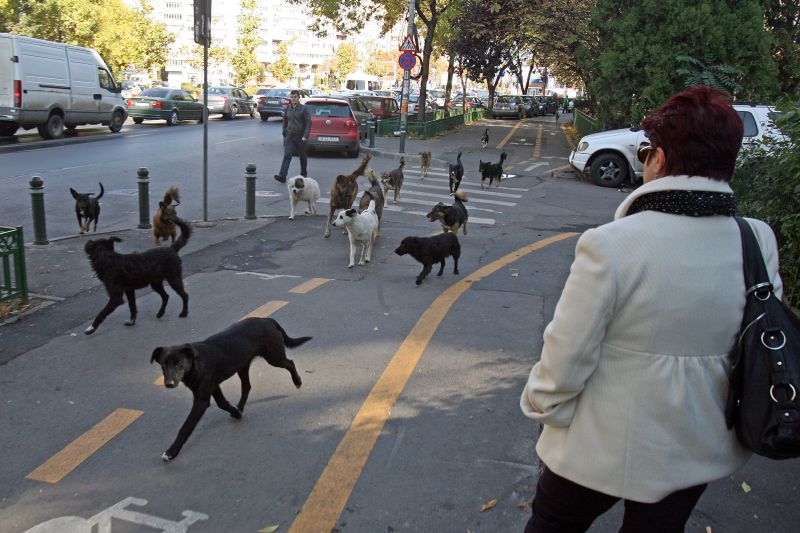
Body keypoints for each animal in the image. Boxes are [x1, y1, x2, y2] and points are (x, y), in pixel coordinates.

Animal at [152, 316, 310, 462]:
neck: (197, 363)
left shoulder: (202, 399)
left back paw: (297, 381)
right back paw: (240, 407)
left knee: (290, 363)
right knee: (247, 386)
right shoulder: (213, 387)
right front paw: (235, 412)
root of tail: (266, 319)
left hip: (274, 356)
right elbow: (222, 403)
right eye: (163, 364)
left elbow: (186, 427)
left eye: (179, 364)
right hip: (243, 365)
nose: (169, 384)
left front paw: (171, 452)